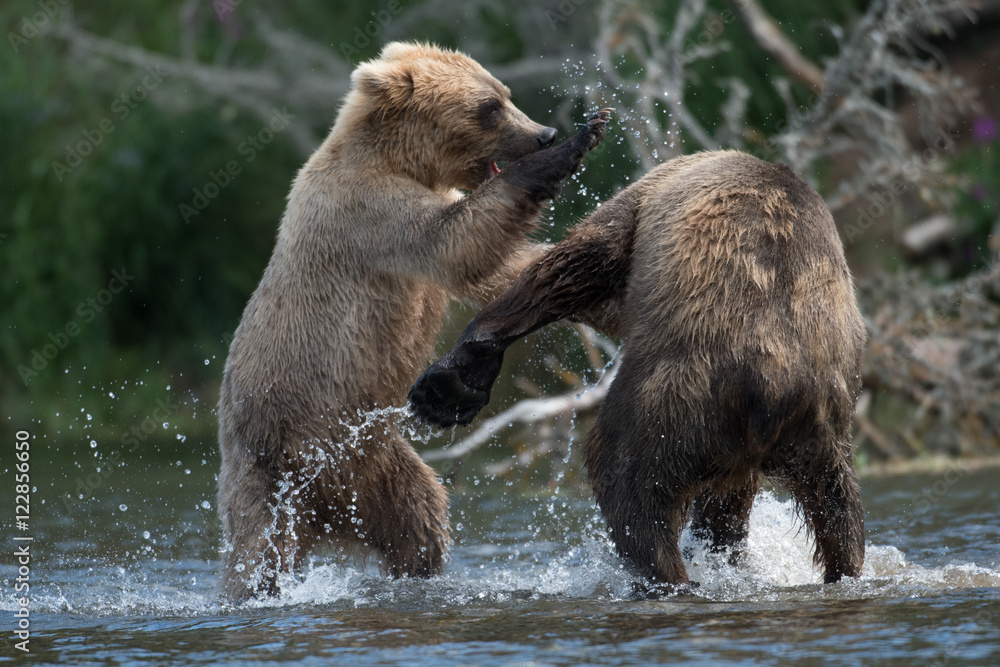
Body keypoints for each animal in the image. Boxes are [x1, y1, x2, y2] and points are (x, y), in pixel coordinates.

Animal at [217, 40, 612, 601]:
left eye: (505, 92)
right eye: (489, 106)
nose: (544, 133)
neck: (401, 162)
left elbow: (496, 270)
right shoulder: (369, 214)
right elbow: (455, 242)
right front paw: (577, 142)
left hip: (371, 462)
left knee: (417, 514)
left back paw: (418, 569)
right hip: (285, 453)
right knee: (260, 550)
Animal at [409, 150, 867, 587]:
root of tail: (773, 391)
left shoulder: (641, 207)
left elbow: (575, 266)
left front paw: (448, 384)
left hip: (679, 392)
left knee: (627, 477)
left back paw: (663, 571)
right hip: (821, 432)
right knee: (837, 514)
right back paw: (829, 568)